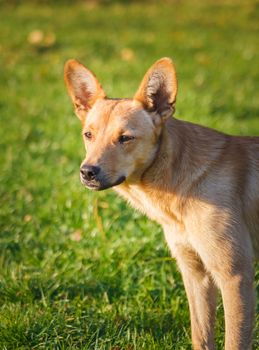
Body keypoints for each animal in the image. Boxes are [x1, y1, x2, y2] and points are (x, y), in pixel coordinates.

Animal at [64, 58, 258, 350]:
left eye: (126, 138)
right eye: (88, 134)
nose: (87, 172)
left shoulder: (235, 275)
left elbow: (234, 341)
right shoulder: (195, 273)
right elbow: (201, 336)